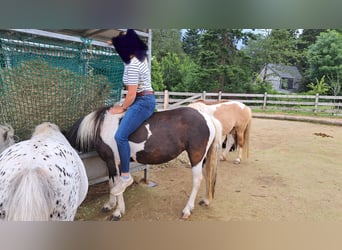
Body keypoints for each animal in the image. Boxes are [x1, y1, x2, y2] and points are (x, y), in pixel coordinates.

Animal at [66, 106, 222, 220]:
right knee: (207, 176)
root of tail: (207, 118)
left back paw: (187, 210)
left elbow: (117, 185)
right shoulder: (110, 162)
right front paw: (110, 205)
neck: (103, 126)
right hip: (203, 158)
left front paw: (117, 211)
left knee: (197, 180)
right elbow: (111, 183)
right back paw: (205, 200)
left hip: (196, 156)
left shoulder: (114, 161)